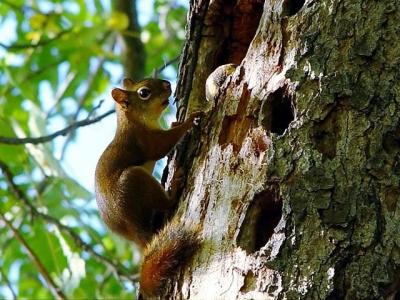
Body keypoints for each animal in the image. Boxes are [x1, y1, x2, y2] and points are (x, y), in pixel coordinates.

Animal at [94, 77, 203, 298]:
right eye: (144, 92)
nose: (168, 84)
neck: (132, 122)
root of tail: (133, 230)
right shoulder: (145, 140)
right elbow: (163, 146)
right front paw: (189, 120)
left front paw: (177, 122)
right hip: (135, 181)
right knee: (166, 203)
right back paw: (174, 186)